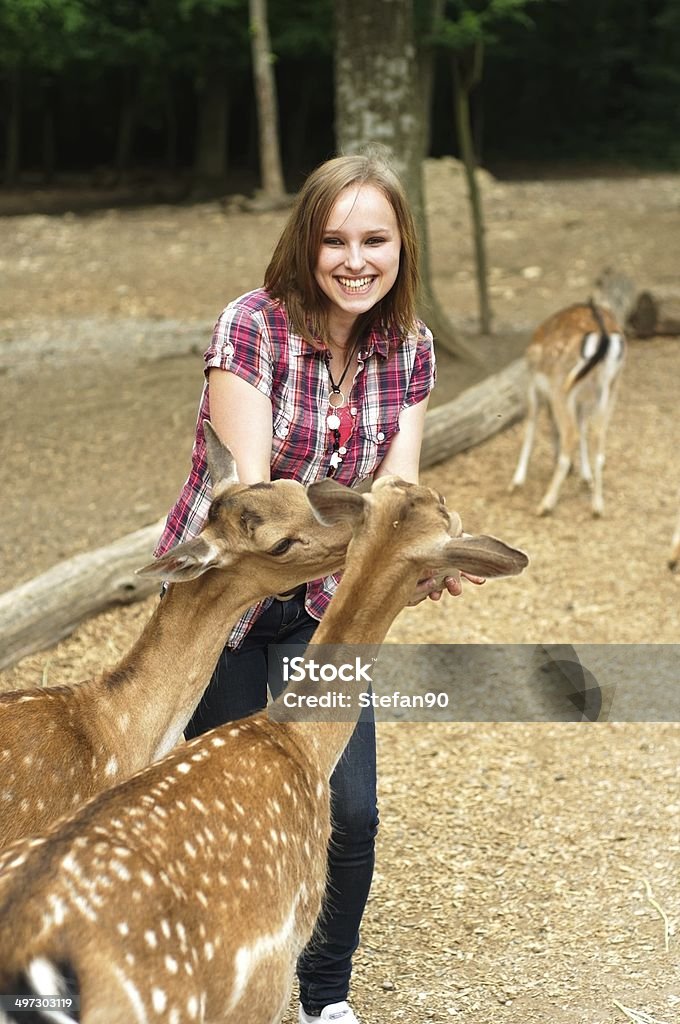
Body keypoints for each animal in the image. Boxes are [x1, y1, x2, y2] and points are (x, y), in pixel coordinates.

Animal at [510, 268, 639, 516]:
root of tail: (605, 336)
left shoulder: (532, 384)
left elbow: (531, 425)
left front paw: (516, 480)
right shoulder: (583, 399)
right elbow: (582, 427)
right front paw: (584, 476)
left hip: (561, 385)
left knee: (570, 434)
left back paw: (546, 503)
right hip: (611, 388)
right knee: (597, 435)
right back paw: (597, 505)